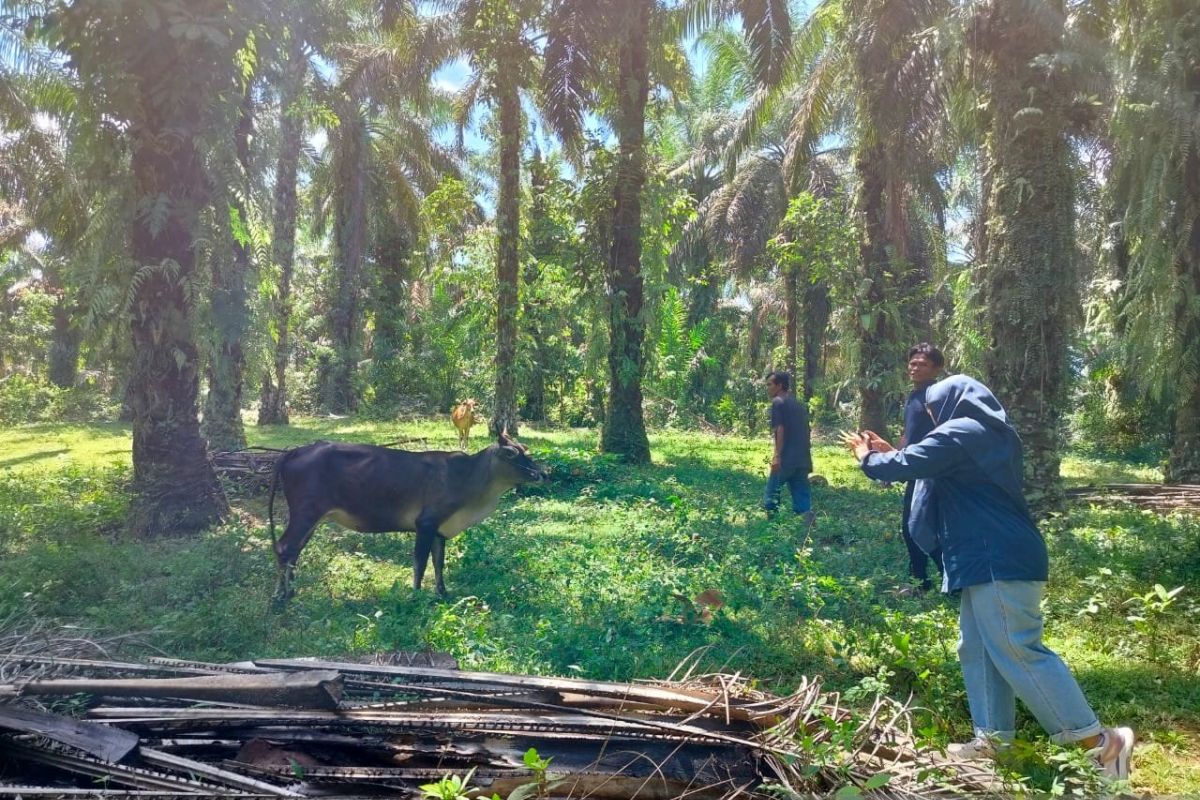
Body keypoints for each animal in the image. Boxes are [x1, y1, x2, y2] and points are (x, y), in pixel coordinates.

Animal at [268, 434, 549, 604]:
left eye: (524, 449)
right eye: (510, 454)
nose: (542, 474)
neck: (468, 478)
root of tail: (293, 452)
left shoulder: (439, 529)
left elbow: (438, 563)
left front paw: (442, 593)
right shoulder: (425, 524)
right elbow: (420, 563)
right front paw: (415, 596)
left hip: (313, 518)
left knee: (293, 552)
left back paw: (291, 592)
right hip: (306, 512)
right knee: (285, 547)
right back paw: (281, 599)